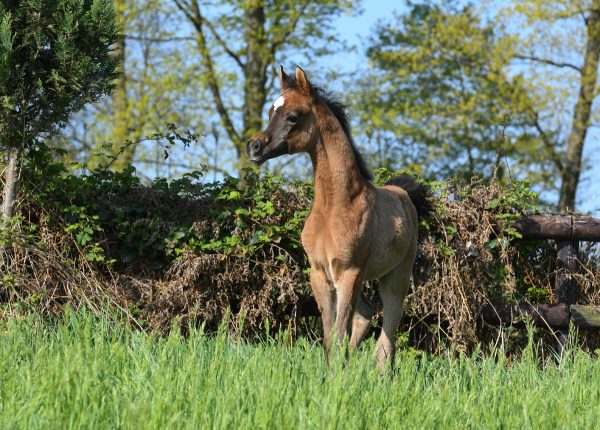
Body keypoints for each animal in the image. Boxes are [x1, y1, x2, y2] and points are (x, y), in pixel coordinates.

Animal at [246, 66, 428, 366]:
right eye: (271, 111)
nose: (254, 147)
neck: (334, 206)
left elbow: (339, 335)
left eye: (293, 116)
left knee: (386, 339)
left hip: (395, 277)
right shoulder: (320, 273)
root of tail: (405, 194)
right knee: (365, 315)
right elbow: (330, 339)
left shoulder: (349, 273)